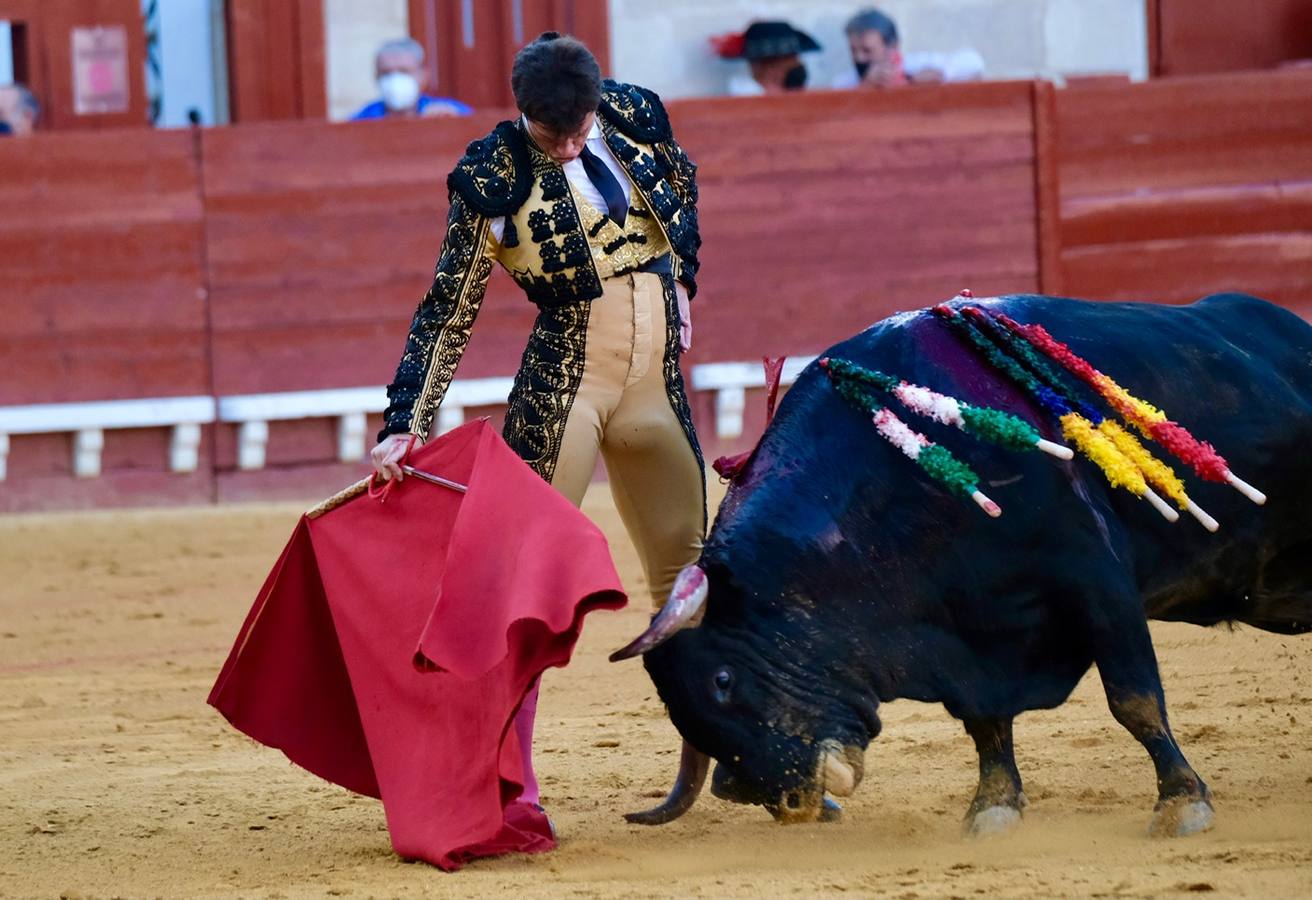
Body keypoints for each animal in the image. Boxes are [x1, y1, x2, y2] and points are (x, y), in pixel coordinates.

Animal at [614, 296, 1312, 839]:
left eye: (722, 681)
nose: (785, 803)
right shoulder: (967, 629)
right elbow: (985, 724)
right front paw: (993, 809)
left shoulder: (1097, 579)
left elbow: (1133, 700)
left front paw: (1182, 803)